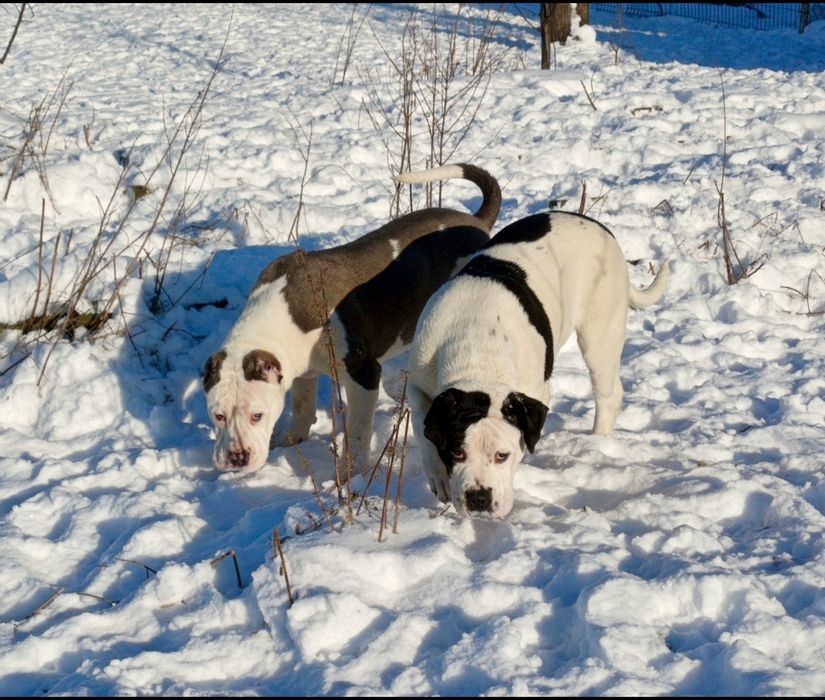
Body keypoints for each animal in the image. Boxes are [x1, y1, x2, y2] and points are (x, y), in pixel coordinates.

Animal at [203, 163, 501, 474]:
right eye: (218, 415)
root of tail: (476, 222)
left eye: (257, 415)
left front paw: (351, 473)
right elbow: (302, 406)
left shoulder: (362, 374)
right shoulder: (303, 371)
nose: (237, 458)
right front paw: (290, 441)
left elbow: (357, 432)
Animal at [407, 209, 670, 518]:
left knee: (608, 394)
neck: (478, 350)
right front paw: (438, 476)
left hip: (600, 334)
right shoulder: (419, 384)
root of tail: (599, 227)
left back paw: (597, 439)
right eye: (457, 452)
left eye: (502, 456)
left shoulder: (536, 393)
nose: (479, 497)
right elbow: (423, 430)